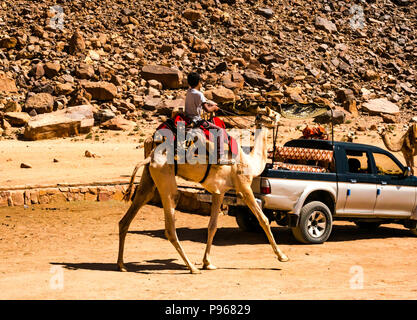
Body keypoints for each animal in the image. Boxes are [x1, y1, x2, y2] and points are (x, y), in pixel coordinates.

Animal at [115, 109, 288, 274]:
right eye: (273, 114)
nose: (281, 117)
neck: (250, 162)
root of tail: (149, 158)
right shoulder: (244, 186)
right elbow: (263, 219)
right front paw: (282, 256)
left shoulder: (219, 192)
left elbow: (212, 226)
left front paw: (208, 263)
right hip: (165, 178)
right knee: (170, 225)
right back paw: (192, 267)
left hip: (149, 179)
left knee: (129, 214)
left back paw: (121, 265)